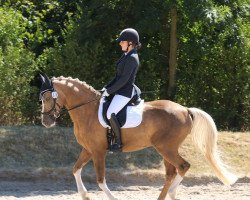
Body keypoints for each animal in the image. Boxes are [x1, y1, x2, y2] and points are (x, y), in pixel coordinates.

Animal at [39, 75, 238, 200]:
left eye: (47, 98)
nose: (46, 122)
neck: (87, 110)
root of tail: (185, 110)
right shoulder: (88, 149)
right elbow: (75, 169)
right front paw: (85, 195)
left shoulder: (98, 151)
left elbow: (101, 180)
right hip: (167, 149)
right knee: (171, 173)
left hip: (166, 148)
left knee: (183, 167)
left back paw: (172, 194)